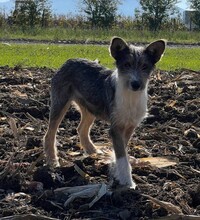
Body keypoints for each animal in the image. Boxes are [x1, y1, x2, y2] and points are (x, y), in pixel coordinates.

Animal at [43, 37, 166, 188]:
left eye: (144, 66)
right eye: (126, 65)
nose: (136, 84)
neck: (130, 96)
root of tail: (69, 61)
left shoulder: (129, 126)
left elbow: (122, 150)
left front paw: (115, 169)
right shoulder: (116, 128)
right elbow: (122, 156)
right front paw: (127, 181)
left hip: (90, 109)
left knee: (81, 129)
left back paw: (93, 152)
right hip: (60, 104)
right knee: (50, 134)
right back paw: (53, 161)